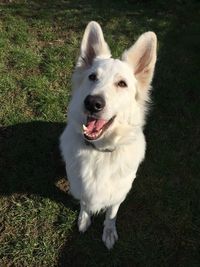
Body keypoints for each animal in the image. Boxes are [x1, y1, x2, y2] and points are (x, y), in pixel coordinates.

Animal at [60, 22, 157, 250]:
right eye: (92, 77)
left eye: (122, 84)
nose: (92, 103)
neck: (100, 152)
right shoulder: (81, 186)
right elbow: (85, 203)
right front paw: (84, 218)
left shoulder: (119, 193)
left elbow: (111, 214)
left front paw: (109, 231)